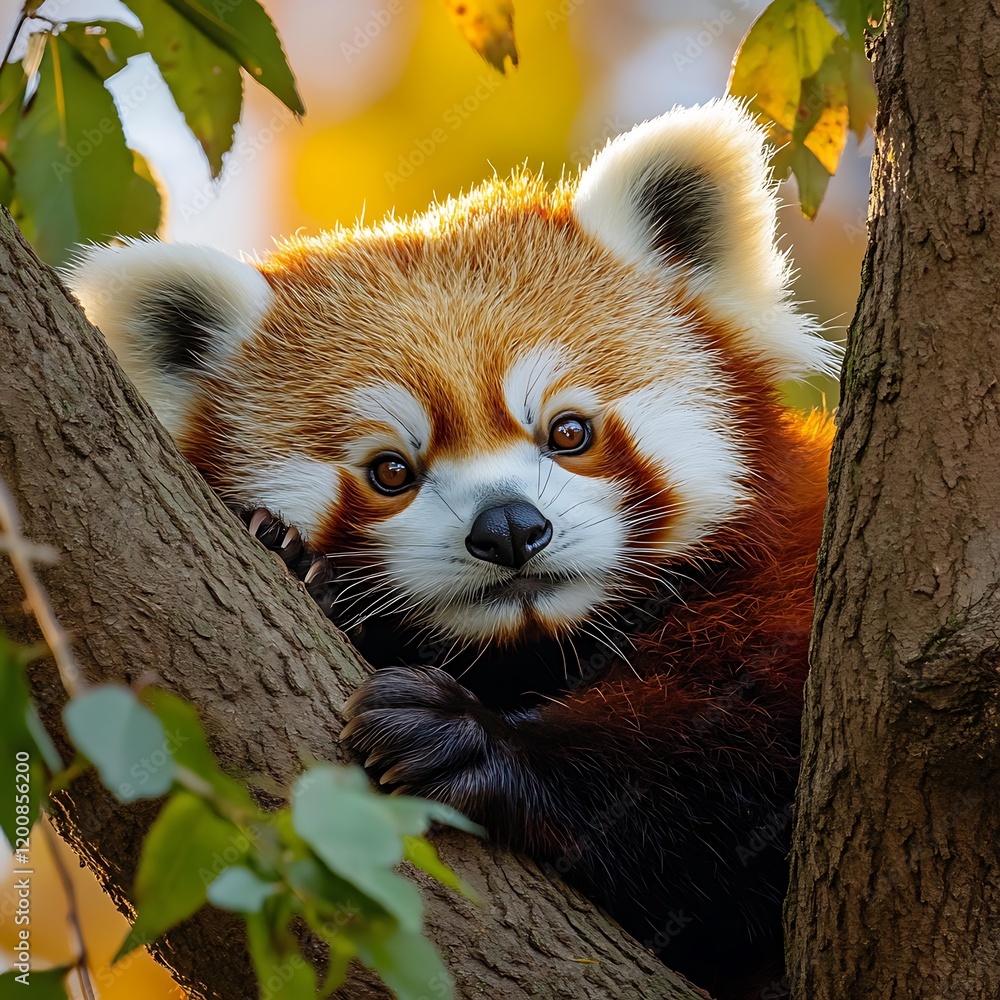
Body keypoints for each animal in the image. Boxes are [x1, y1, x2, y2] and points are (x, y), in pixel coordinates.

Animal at [67, 98, 838, 999]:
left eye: (568, 432)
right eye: (391, 471)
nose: (508, 529)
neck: (535, 648)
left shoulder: (791, 582)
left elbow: (730, 771)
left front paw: (475, 740)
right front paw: (291, 559)